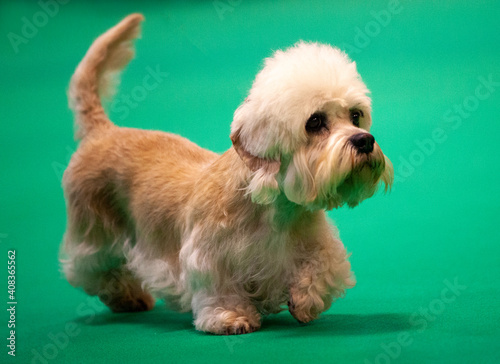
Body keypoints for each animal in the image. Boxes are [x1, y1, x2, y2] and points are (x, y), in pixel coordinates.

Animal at [60, 12, 392, 334]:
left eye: (355, 116)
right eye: (314, 121)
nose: (365, 141)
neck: (275, 210)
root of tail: (102, 131)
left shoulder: (317, 242)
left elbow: (322, 266)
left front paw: (305, 300)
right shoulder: (208, 257)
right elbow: (220, 289)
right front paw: (230, 318)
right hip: (93, 233)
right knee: (92, 271)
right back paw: (128, 296)